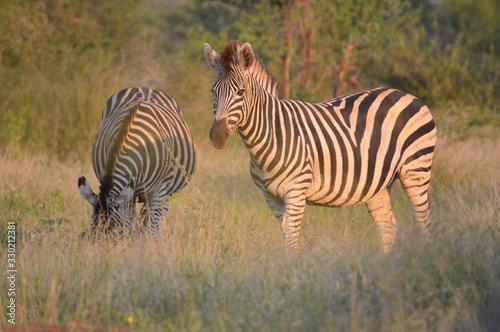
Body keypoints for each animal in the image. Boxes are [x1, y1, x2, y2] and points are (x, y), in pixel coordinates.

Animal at [77, 87, 195, 235]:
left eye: (117, 233)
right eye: (93, 232)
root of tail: (145, 88)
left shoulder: (160, 189)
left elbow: (153, 229)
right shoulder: (128, 192)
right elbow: (131, 223)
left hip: (167, 192)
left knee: (157, 218)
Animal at [205, 40, 436, 252]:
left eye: (241, 92)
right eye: (212, 92)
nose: (217, 136)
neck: (272, 135)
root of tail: (408, 95)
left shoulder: (296, 192)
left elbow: (292, 241)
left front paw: (292, 271)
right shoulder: (271, 197)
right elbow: (285, 238)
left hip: (416, 170)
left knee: (424, 223)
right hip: (377, 185)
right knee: (388, 226)